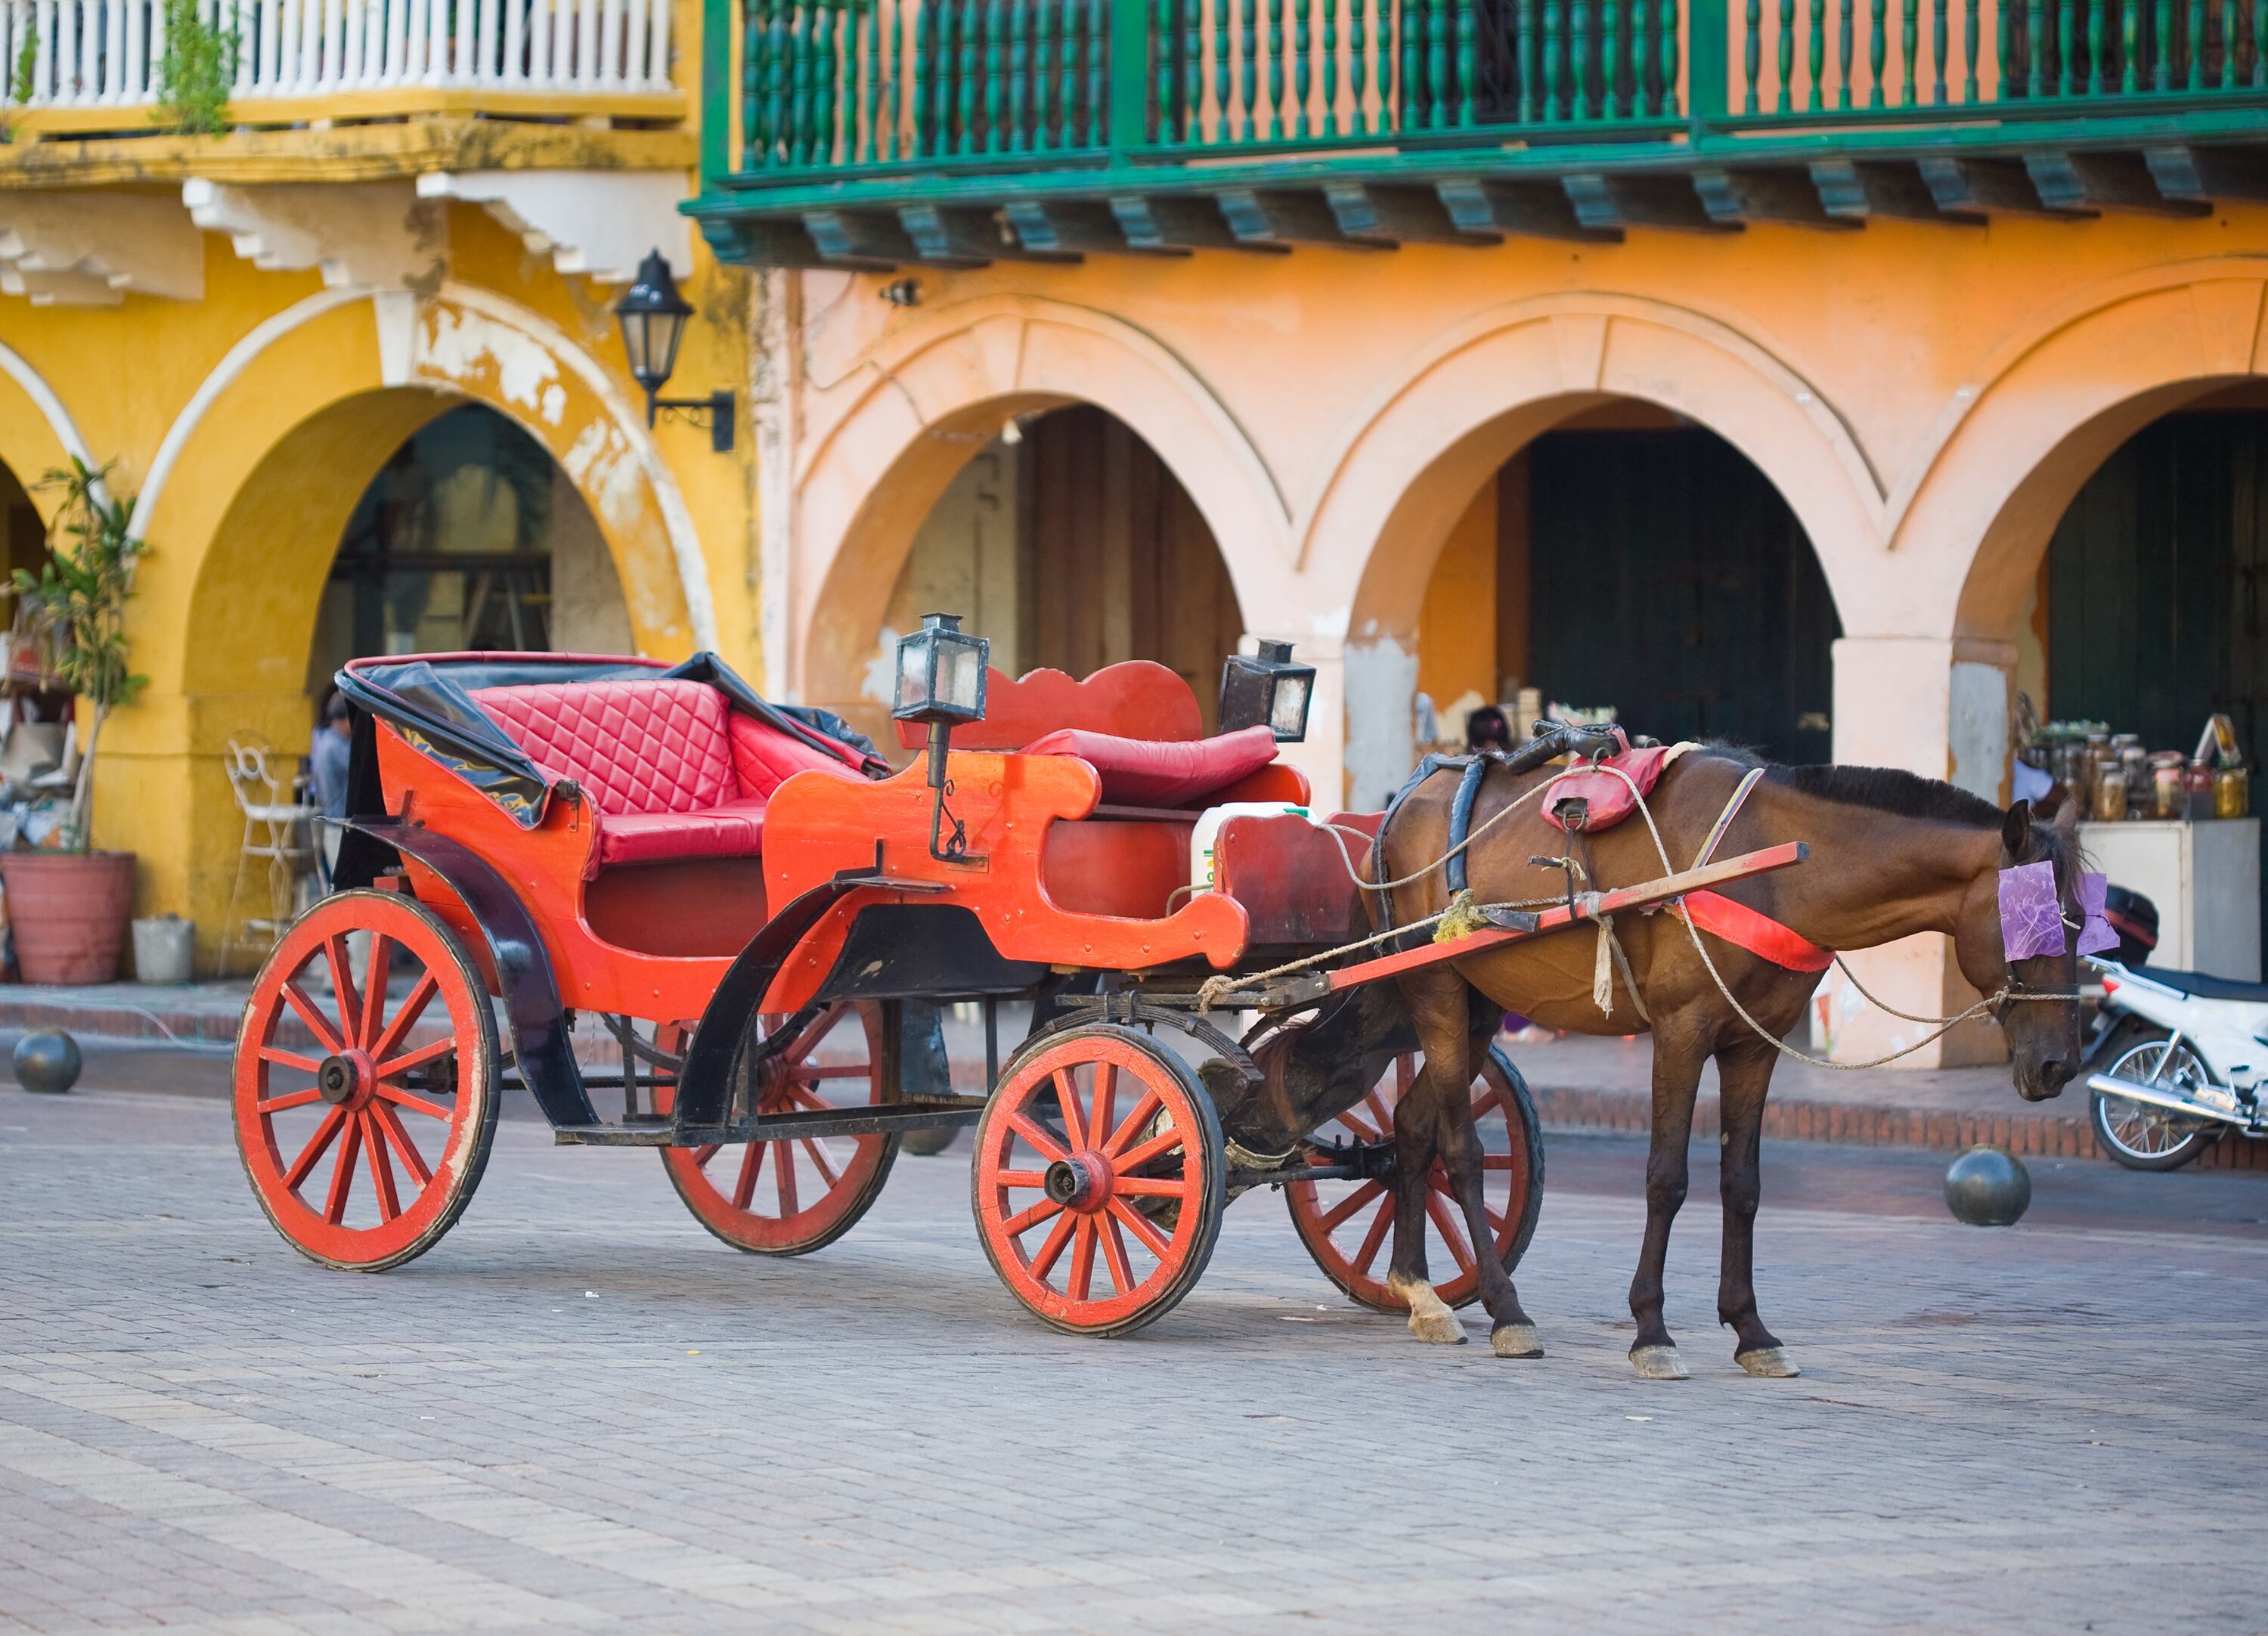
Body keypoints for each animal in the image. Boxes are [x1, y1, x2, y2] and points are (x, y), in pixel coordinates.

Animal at [1350, 747, 2086, 1378]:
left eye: (2084, 921)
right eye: (2035, 923)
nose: (2060, 1066)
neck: (1772, 868)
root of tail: (1404, 802)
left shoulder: (1753, 1045)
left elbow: (1743, 1185)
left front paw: (1751, 1330)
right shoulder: (1682, 1030)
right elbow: (1667, 1179)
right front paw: (1651, 1331)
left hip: (1478, 1006)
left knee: (1411, 1127)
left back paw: (1419, 1291)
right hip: (1437, 990)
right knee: (1461, 1151)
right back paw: (1507, 1311)